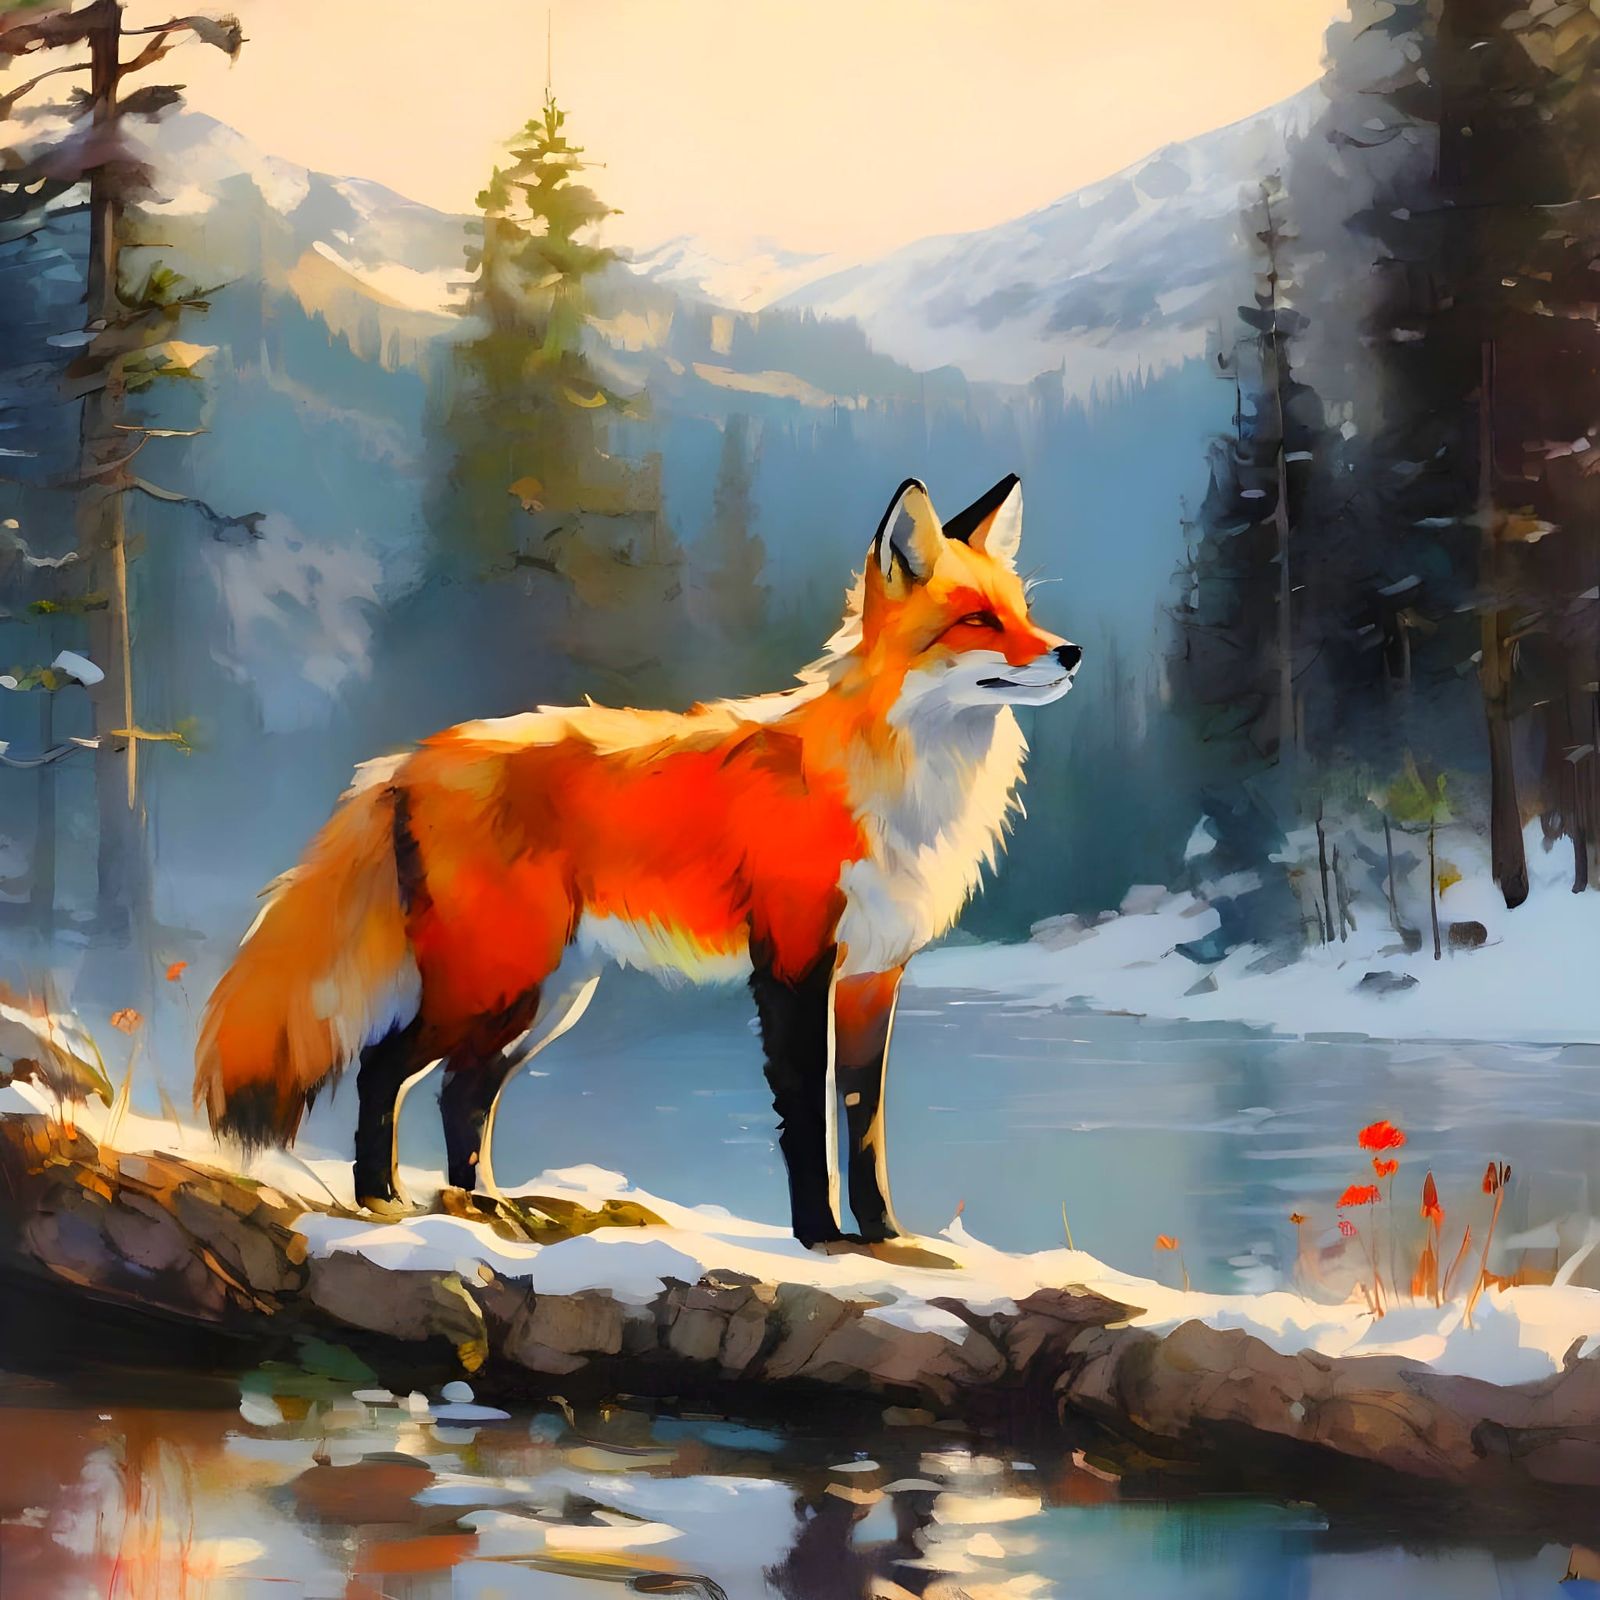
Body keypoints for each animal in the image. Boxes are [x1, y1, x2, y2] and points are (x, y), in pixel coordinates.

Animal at [195, 474, 1080, 1246]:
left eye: (1023, 612)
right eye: (978, 621)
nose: (1070, 652)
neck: (896, 784)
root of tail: (403, 760)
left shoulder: (872, 977)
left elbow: (865, 1129)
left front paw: (885, 1236)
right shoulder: (793, 965)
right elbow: (807, 1124)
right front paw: (820, 1238)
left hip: (542, 998)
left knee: (460, 1093)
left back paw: (483, 1205)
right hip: (493, 982)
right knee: (384, 1070)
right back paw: (383, 1201)